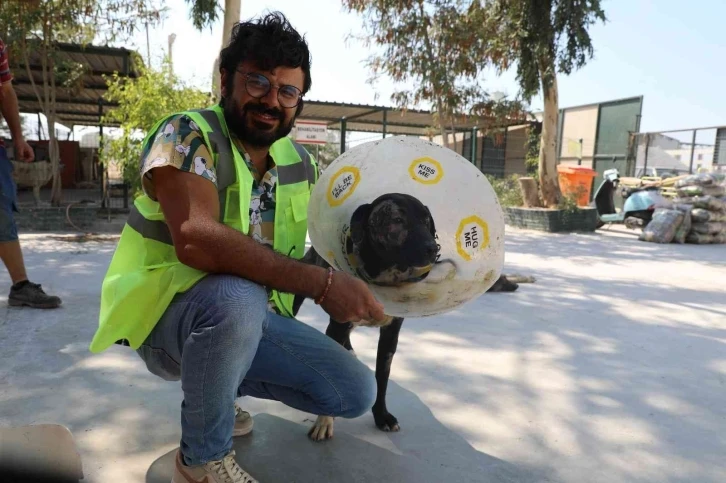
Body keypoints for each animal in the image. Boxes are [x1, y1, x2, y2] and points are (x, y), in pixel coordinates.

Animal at [292, 195, 520, 440]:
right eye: (397, 220)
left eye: (426, 220)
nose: (433, 248)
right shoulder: (338, 325)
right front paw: (325, 421)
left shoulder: (390, 335)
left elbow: (381, 380)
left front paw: (382, 416)